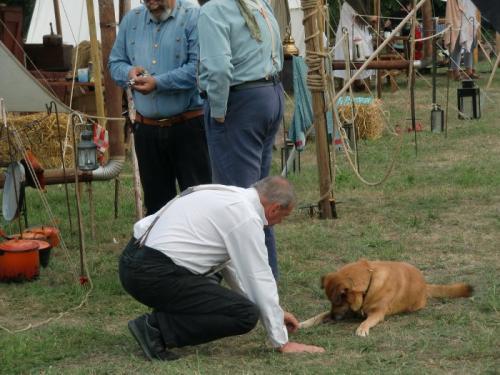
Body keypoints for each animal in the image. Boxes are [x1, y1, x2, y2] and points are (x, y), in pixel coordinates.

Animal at [300, 258, 472, 338]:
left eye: (338, 302)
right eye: (331, 302)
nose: (333, 318)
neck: (368, 282)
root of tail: (425, 284)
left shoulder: (377, 313)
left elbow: (366, 321)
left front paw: (362, 328)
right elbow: (319, 315)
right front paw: (304, 322)